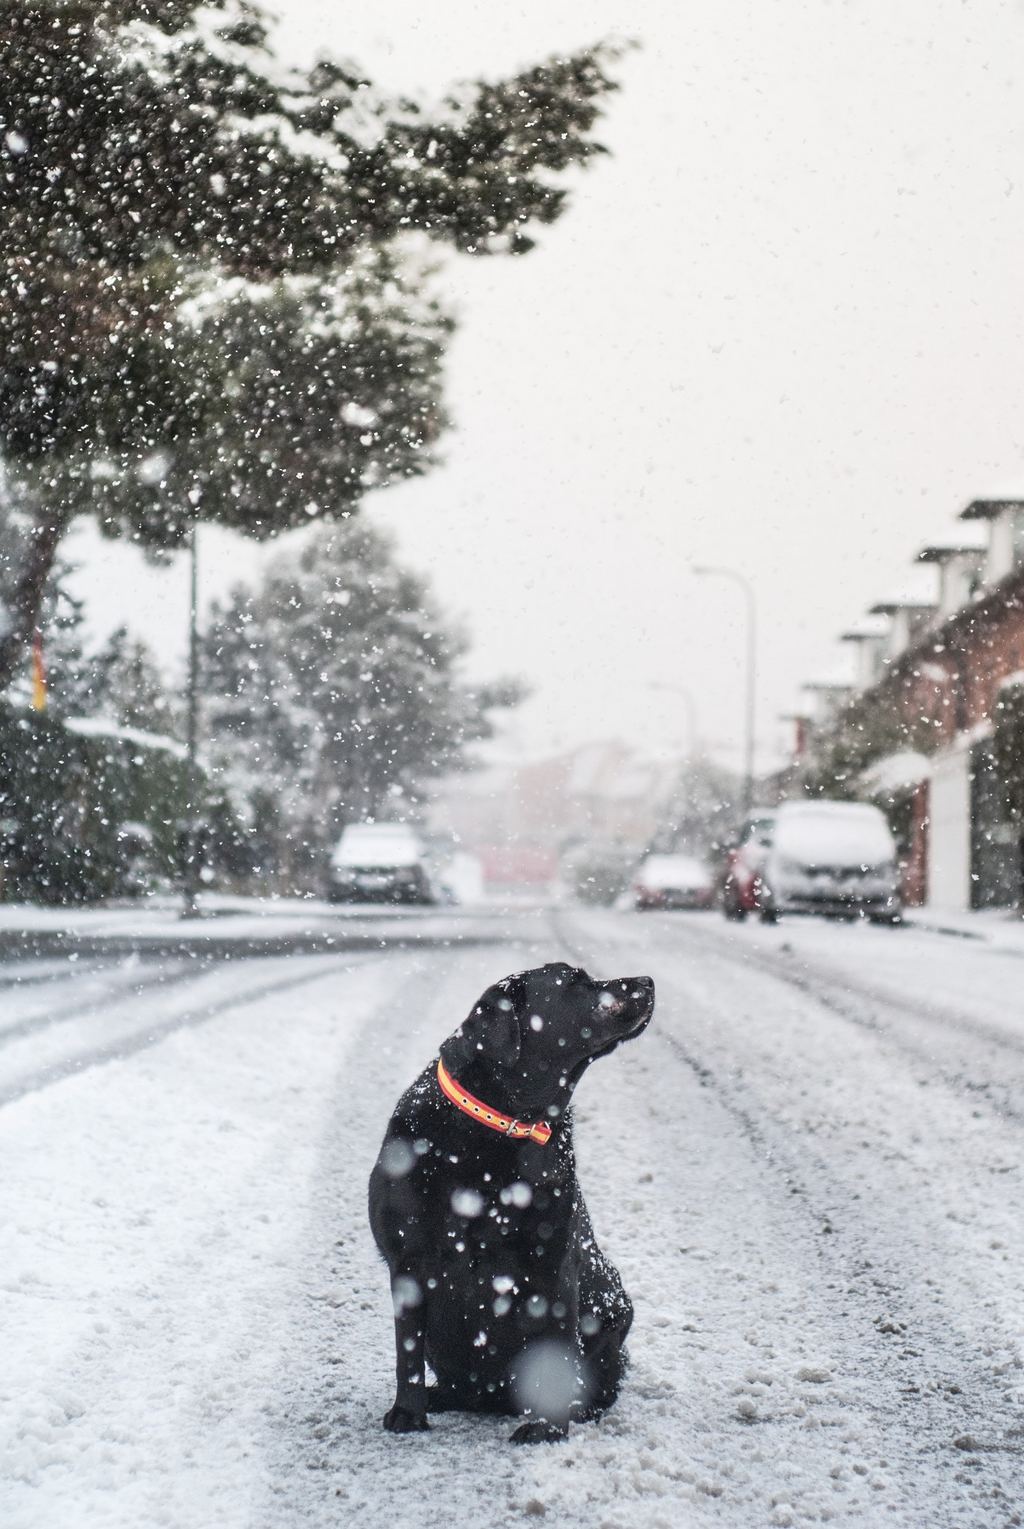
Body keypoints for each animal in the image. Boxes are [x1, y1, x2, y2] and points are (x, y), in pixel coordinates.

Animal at [371, 960, 657, 1437]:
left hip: (615, 1310)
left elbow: (554, 1354)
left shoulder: (552, 1264)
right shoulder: (407, 1262)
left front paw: (546, 1428)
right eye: (576, 981)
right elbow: (405, 1351)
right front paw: (408, 1413)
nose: (648, 981)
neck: (502, 1126)